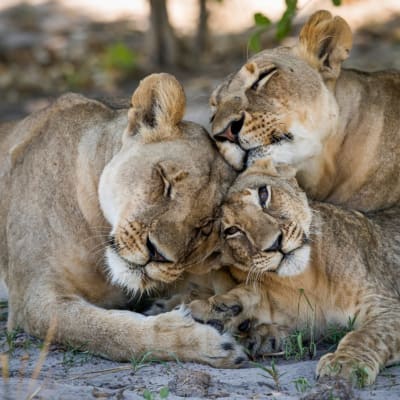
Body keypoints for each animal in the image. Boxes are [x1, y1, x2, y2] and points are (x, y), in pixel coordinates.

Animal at [0, 73, 247, 368]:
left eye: (206, 227)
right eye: (164, 181)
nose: (157, 254)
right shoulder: (33, 299)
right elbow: (110, 333)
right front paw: (200, 340)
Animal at [189, 159, 400, 384]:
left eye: (263, 195)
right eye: (232, 231)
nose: (275, 244)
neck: (308, 280)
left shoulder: (386, 305)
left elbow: (367, 335)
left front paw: (344, 364)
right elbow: (253, 293)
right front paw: (220, 311)